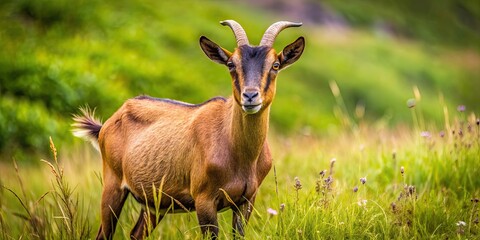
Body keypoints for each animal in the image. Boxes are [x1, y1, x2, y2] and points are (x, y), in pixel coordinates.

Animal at [72, 19, 304, 239]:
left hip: (155, 204)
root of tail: (109, 122)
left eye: (275, 64)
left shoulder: (246, 201)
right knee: (104, 234)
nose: (250, 96)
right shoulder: (204, 200)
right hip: (112, 186)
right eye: (231, 64)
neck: (240, 153)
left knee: (135, 234)